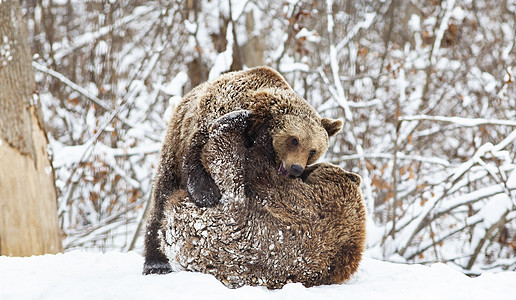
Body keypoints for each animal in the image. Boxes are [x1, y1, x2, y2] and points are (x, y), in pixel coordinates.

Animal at [143, 66, 342, 274]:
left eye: (313, 150)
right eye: (294, 140)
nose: (296, 168)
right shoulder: (214, 114)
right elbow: (199, 154)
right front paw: (207, 194)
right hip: (174, 142)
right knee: (162, 195)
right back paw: (156, 263)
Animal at [159, 111, 364, 290]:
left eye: (313, 158)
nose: (299, 170)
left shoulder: (308, 207)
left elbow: (260, 173)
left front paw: (264, 136)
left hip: (223, 232)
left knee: (225, 161)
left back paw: (233, 120)